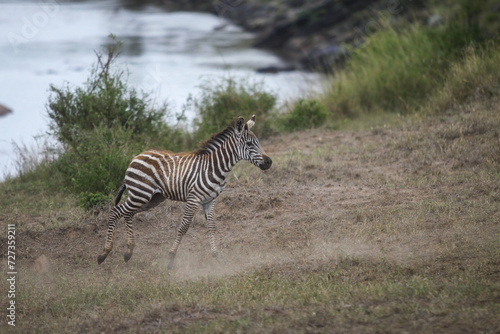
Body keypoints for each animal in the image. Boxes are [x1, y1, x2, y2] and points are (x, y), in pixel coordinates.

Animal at [98, 115, 274, 268]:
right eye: (250, 144)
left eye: (258, 142)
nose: (269, 162)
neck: (215, 167)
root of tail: (137, 156)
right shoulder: (193, 199)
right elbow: (184, 227)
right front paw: (171, 259)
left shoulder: (210, 200)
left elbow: (212, 226)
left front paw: (217, 257)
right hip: (141, 193)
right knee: (116, 211)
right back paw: (104, 253)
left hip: (152, 198)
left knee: (127, 213)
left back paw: (128, 251)